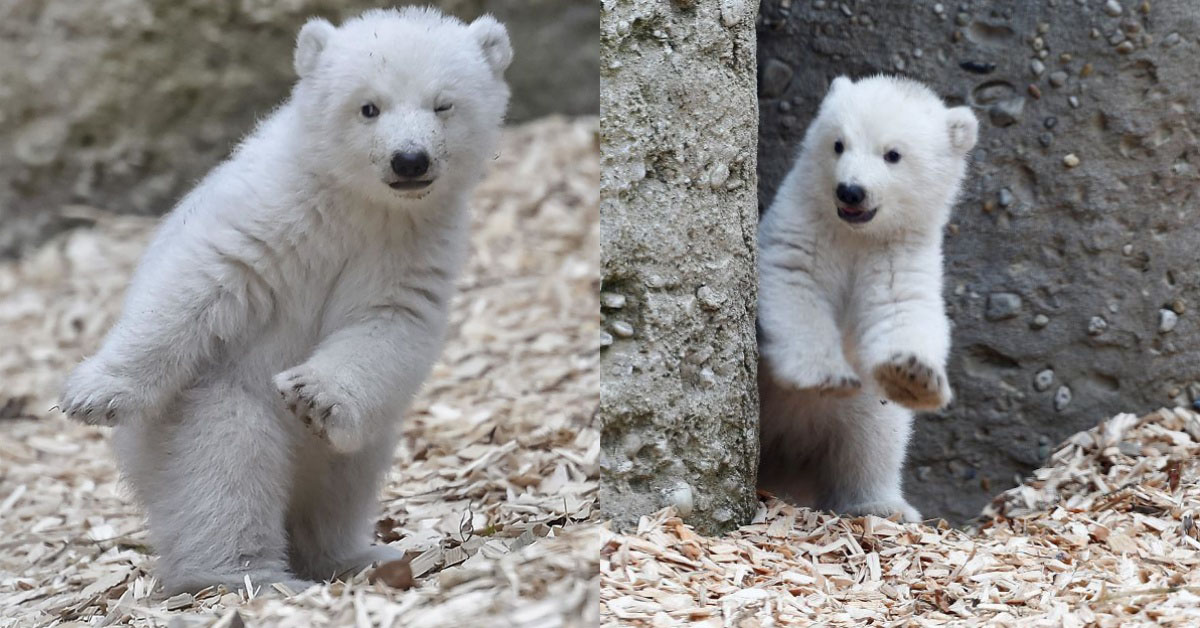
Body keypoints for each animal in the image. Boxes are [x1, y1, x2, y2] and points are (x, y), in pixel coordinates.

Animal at [58, 7, 512, 594]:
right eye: (368, 106)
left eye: (443, 103)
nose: (409, 160)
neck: (357, 203)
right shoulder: (274, 213)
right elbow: (197, 283)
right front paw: (95, 393)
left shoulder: (411, 243)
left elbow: (387, 320)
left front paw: (312, 395)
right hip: (201, 405)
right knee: (227, 465)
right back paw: (246, 573)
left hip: (357, 444)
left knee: (343, 480)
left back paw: (353, 554)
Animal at [756, 75, 977, 523]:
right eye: (838, 144)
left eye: (892, 154)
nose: (851, 191)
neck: (854, 235)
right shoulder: (800, 230)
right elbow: (795, 286)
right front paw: (824, 375)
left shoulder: (897, 252)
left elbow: (903, 309)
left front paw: (914, 375)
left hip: (862, 412)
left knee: (872, 441)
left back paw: (881, 506)